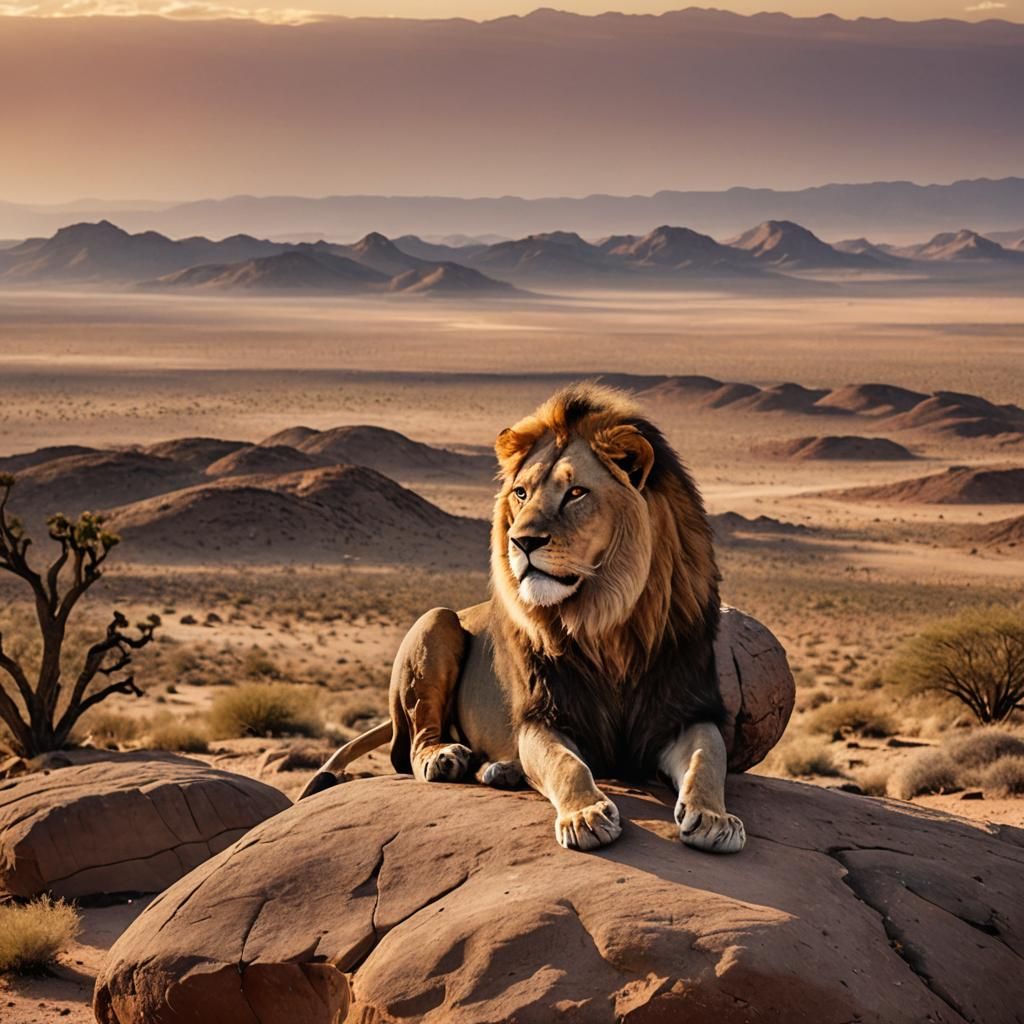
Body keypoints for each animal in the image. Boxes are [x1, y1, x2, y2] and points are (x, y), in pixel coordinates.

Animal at [301, 382, 747, 853]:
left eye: (576, 493)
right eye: (521, 493)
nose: (522, 541)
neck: (604, 622)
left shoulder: (682, 711)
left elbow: (708, 759)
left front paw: (714, 819)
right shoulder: (541, 716)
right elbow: (566, 764)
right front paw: (585, 816)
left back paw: (501, 769)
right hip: (435, 622)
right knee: (414, 748)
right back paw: (447, 758)